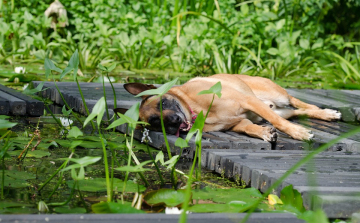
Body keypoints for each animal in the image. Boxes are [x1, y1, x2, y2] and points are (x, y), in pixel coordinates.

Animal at [120, 74, 340, 142]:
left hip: (279, 96)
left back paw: (327, 113)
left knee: (298, 103)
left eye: (163, 103)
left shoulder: (248, 101)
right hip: (281, 108)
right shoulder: (237, 122)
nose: (174, 121)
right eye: (155, 122)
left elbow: (278, 123)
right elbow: (248, 127)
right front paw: (264, 133)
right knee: (297, 112)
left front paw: (299, 133)